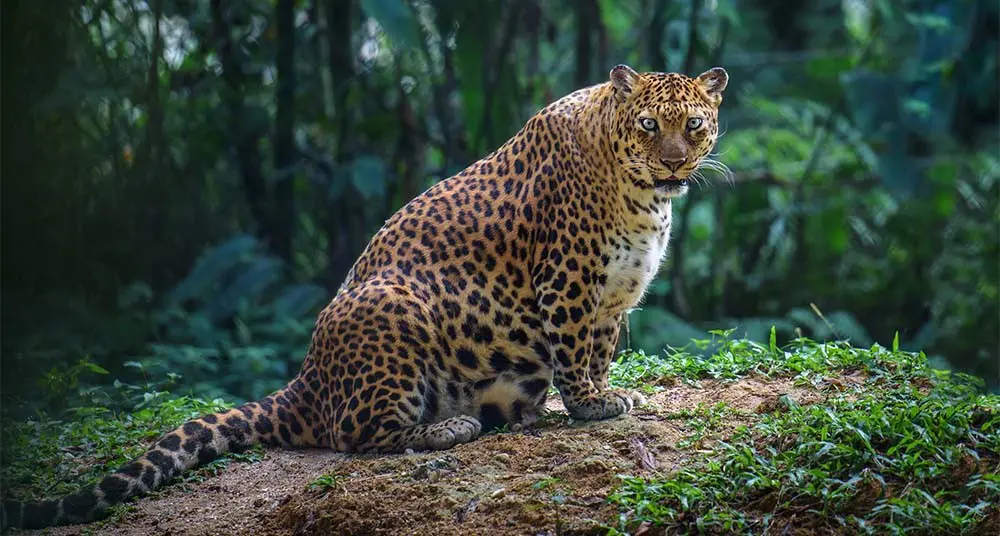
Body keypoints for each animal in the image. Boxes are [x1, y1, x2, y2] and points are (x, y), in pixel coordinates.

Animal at [0, 62, 728, 528]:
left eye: (693, 125)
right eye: (647, 126)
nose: (672, 161)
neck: (644, 198)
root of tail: (307, 379)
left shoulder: (615, 295)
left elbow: (598, 350)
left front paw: (604, 394)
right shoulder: (568, 281)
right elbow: (576, 353)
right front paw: (593, 405)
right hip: (394, 312)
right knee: (355, 433)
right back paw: (450, 427)